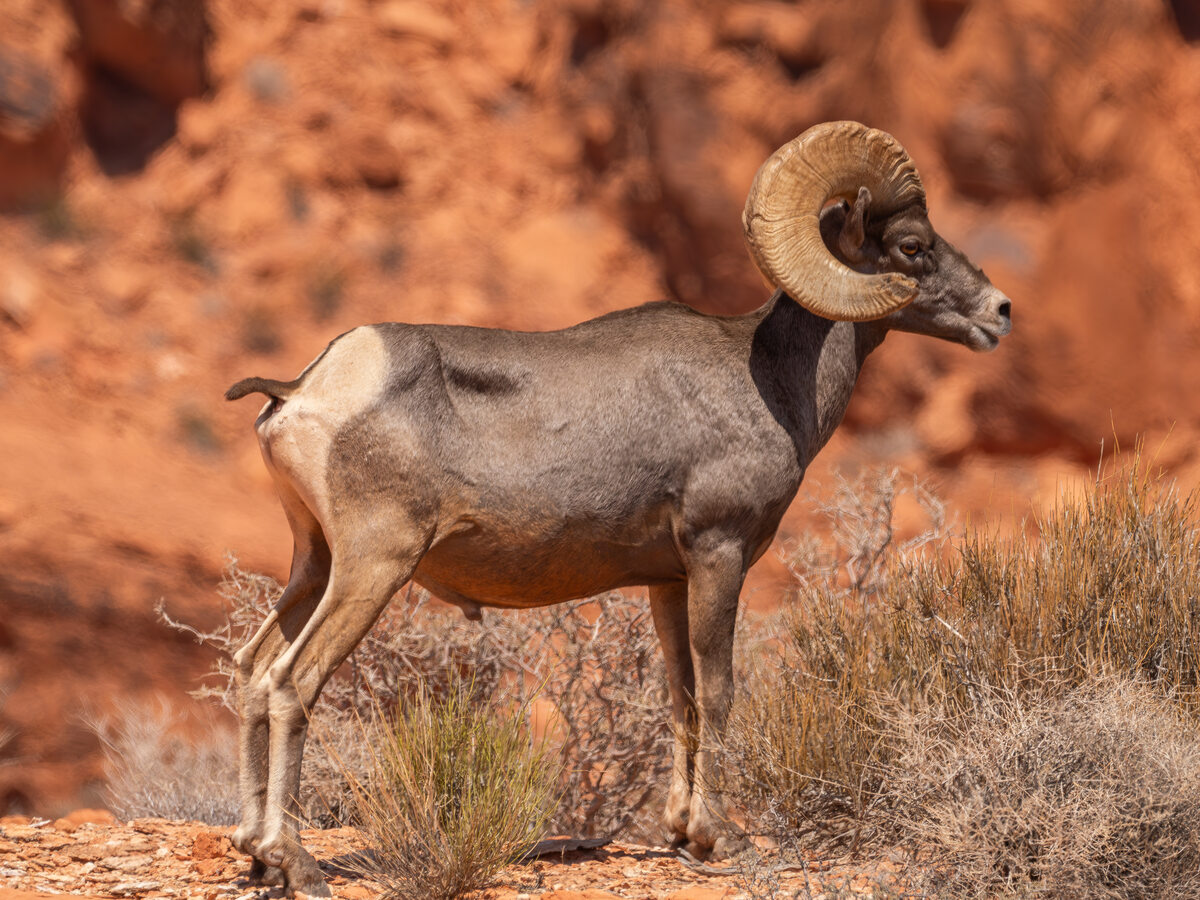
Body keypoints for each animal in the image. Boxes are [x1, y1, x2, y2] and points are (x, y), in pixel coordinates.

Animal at [225, 120, 1012, 895]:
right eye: (912, 246)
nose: (1000, 312)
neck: (766, 381)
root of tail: (301, 391)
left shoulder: (667, 582)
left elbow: (682, 694)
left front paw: (682, 832)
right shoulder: (718, 554)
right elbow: (719, 690)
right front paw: (720, 838)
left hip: (314, 564)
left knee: (253, 673)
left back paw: (256, 854)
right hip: (373, 566)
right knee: (292, 682)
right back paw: (297, 864)